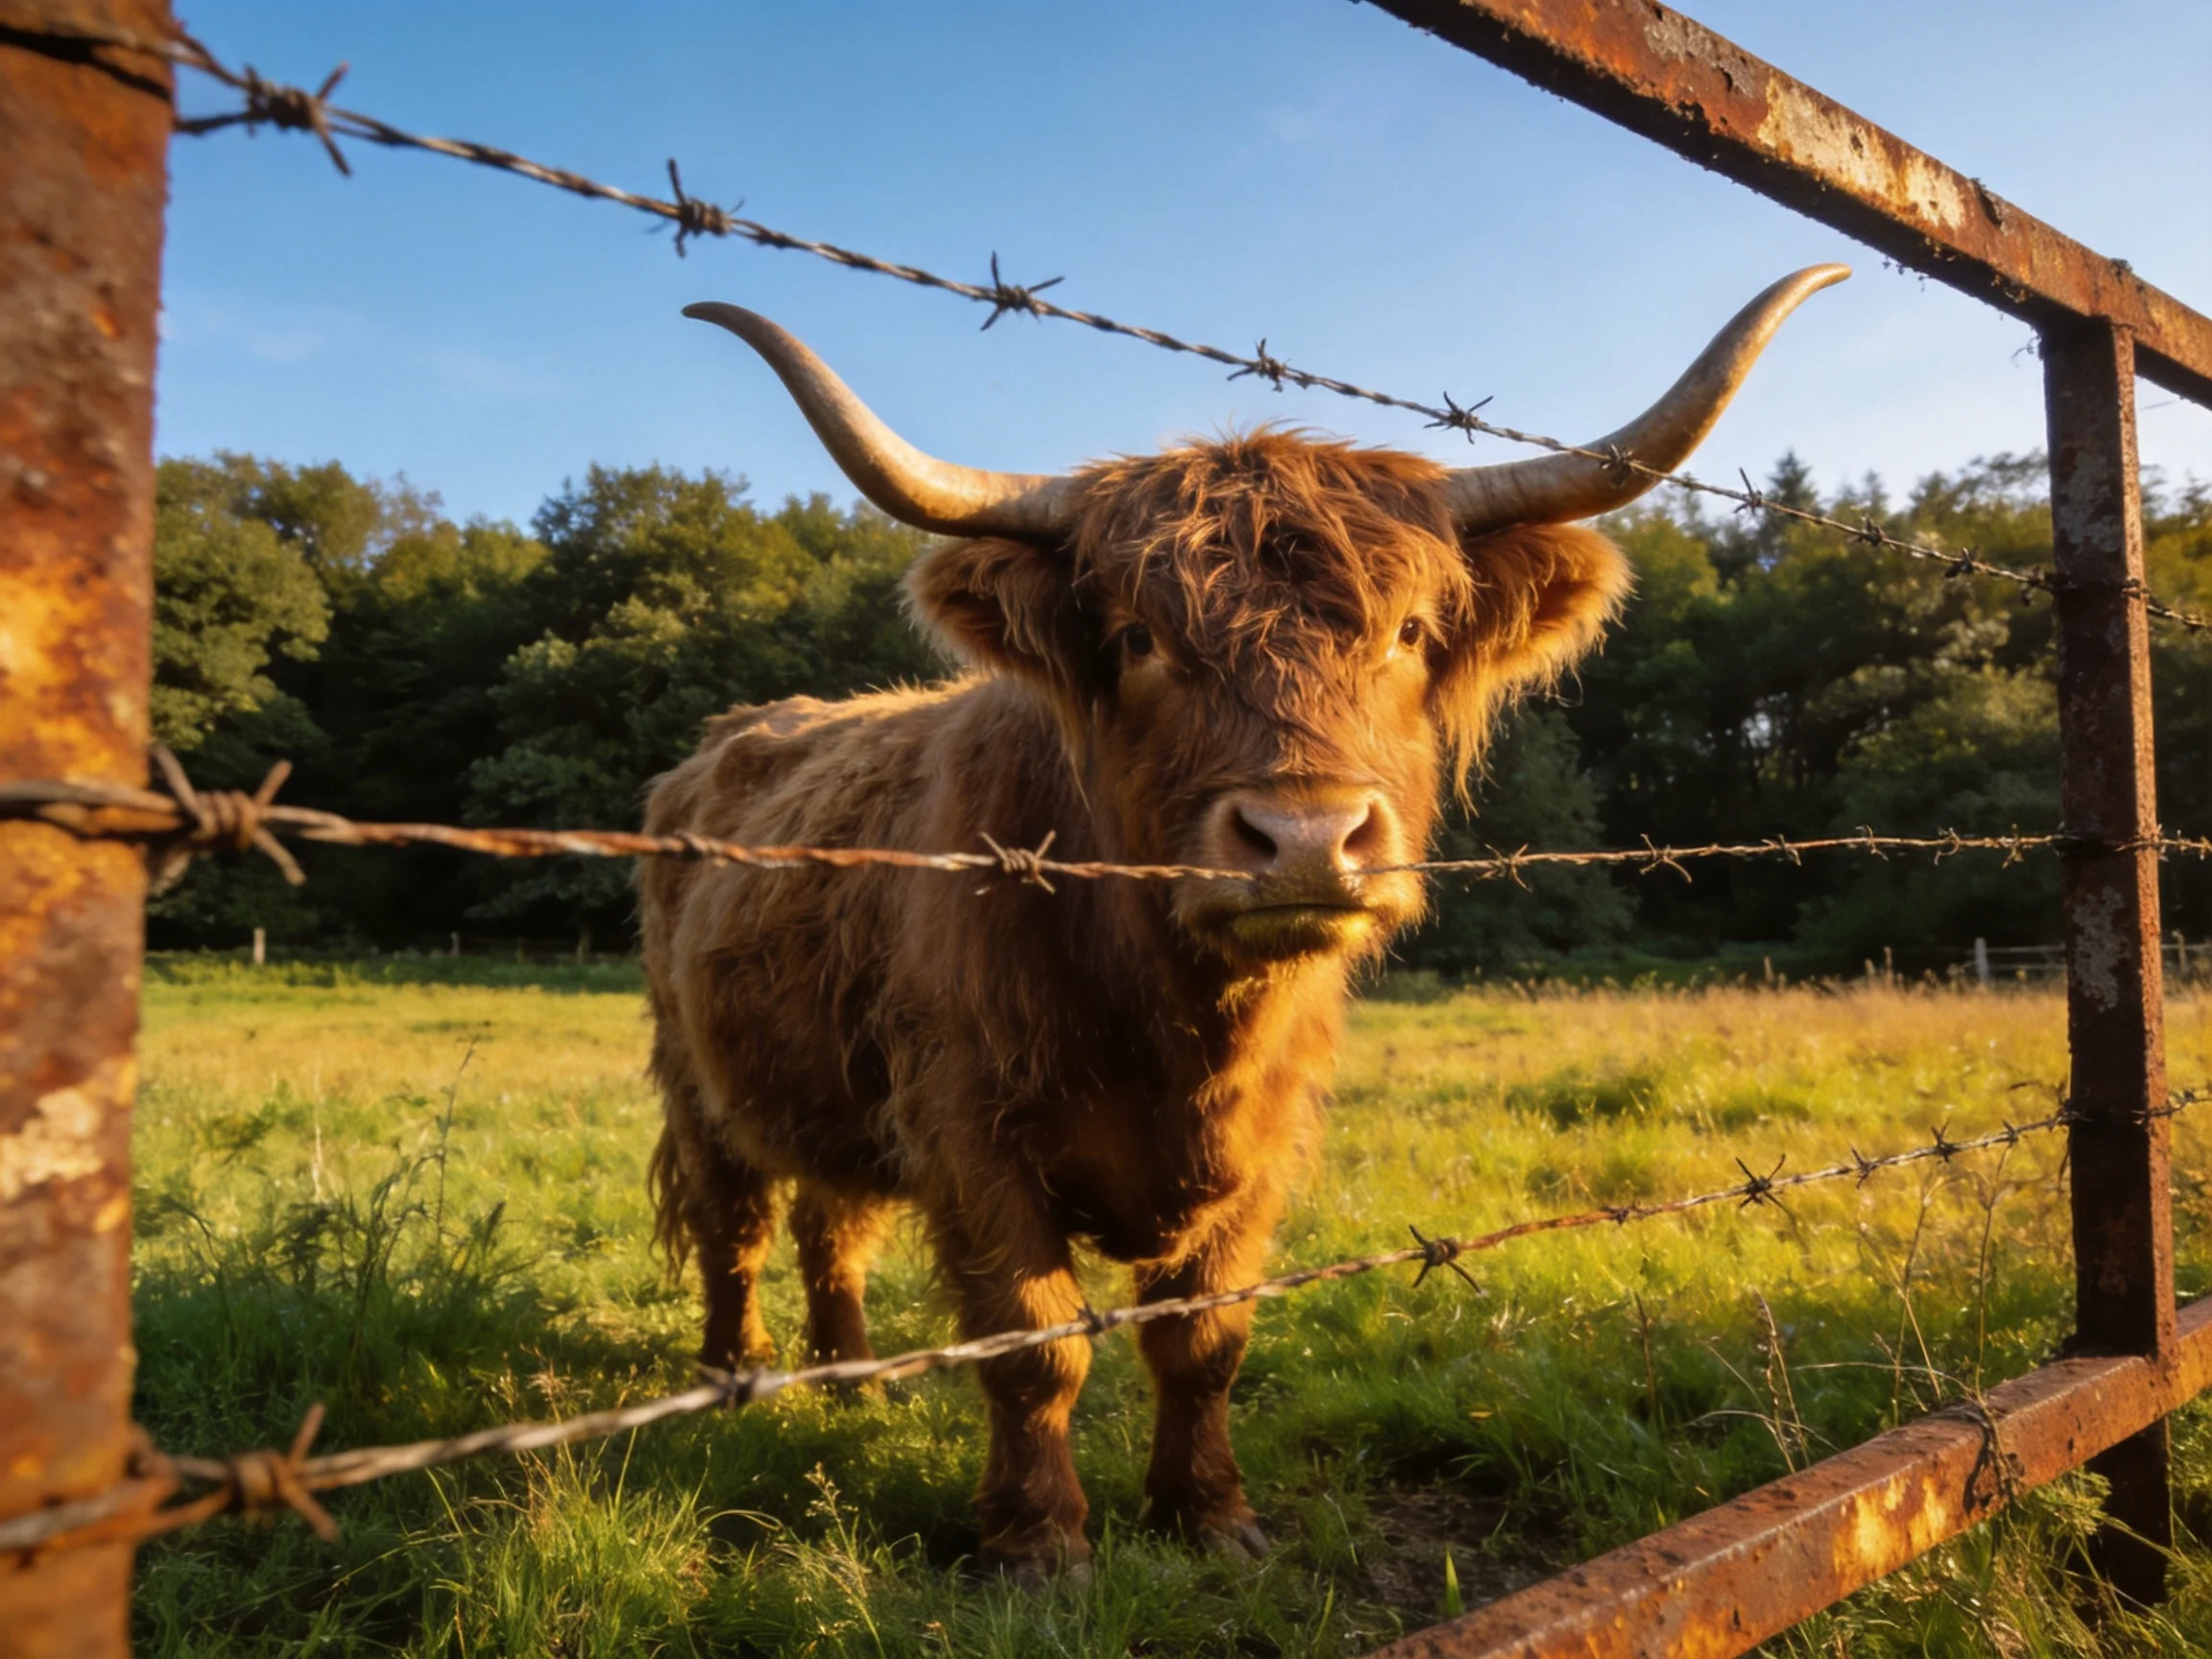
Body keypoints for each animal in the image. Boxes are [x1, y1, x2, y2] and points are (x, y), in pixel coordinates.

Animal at [640, 266, 1845, 1581]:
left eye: (1408, 631)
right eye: (1137, 639)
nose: (1307, 838)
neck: (1178, 1020)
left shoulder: (1263, 1138)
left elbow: (1206, 1337)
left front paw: (1209, 1514)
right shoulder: (969, 1123)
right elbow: (1034, 1339)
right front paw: (1039, 1543)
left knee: (831, 1220)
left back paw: (856, 1382)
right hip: (697, 1079)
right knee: (738, 1225)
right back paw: (737, 1378)